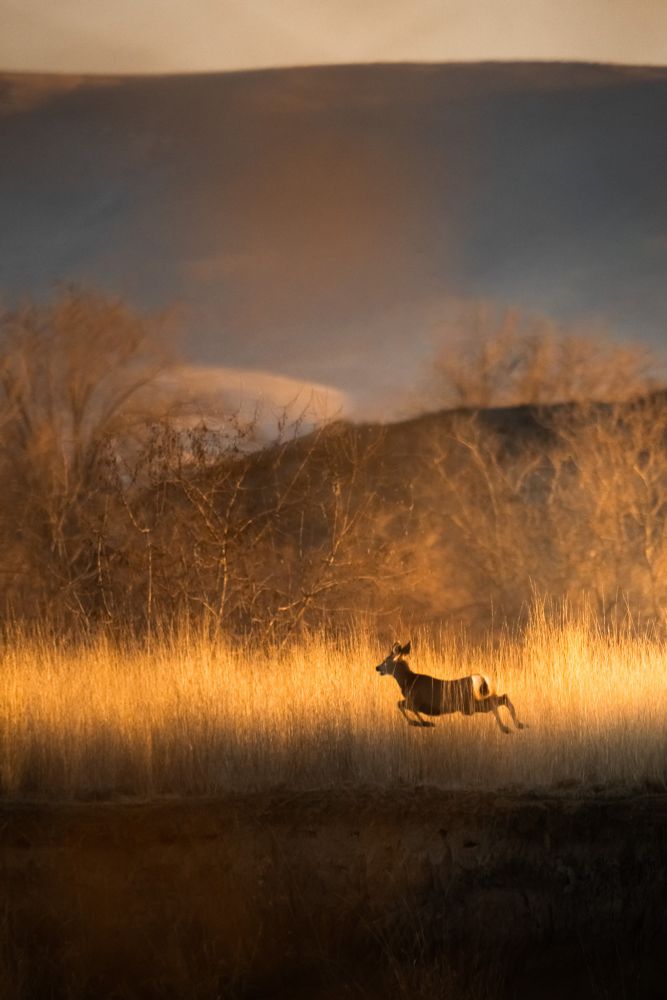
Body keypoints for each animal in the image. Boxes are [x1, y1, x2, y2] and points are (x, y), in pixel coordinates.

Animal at [375, 641, 527, 734]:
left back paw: (506, 728)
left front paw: (423, 723)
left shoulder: (416, 700)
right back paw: (519, 725)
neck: (408, 681)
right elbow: (402, 705)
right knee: (503, 697)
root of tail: (478, 678)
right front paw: (423, 723)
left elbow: (401, 705)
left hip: (468, 705)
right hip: (472, 702)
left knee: (495, 702)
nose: (377, 667)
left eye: (385, 660)